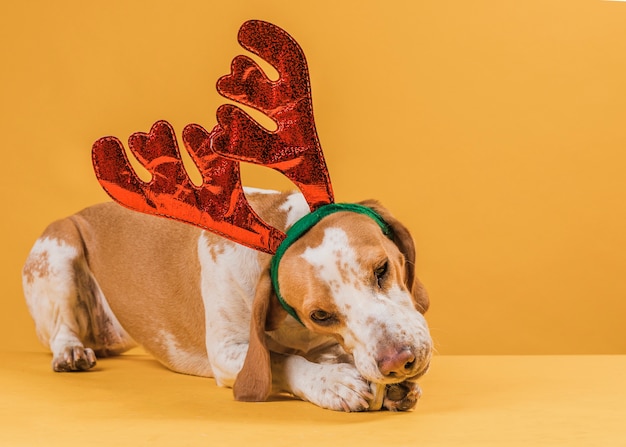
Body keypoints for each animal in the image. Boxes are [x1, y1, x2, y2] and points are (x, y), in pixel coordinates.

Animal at [22, 188, 432, 412]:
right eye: (320, 314)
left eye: (382, 269)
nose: (400, 362)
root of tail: (78, 212)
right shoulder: (226, 351)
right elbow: (277, 361)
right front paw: (332, 382)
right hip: (58, 250)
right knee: (62, 330)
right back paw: (70, 351)